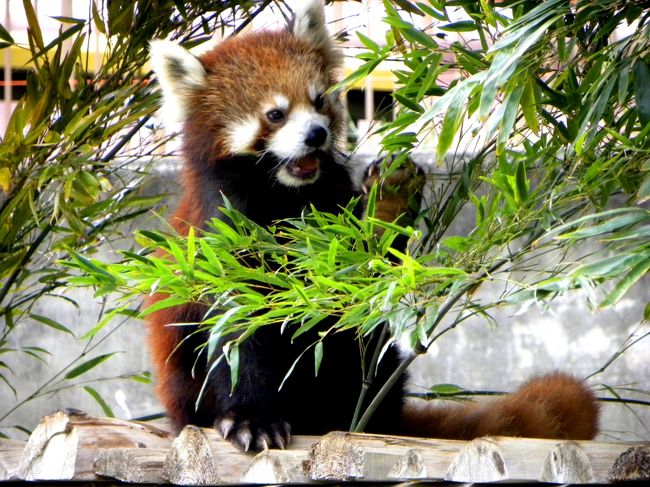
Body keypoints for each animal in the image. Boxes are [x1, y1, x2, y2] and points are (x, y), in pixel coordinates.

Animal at [147, 0, 596, 454]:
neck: (286, 194)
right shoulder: (222, 236)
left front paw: (391, 196)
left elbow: (363, 271)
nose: (316, 133)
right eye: (275, 114)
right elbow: (240, 333)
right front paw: (252, 419)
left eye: (318, 100)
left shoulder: (331, 215)